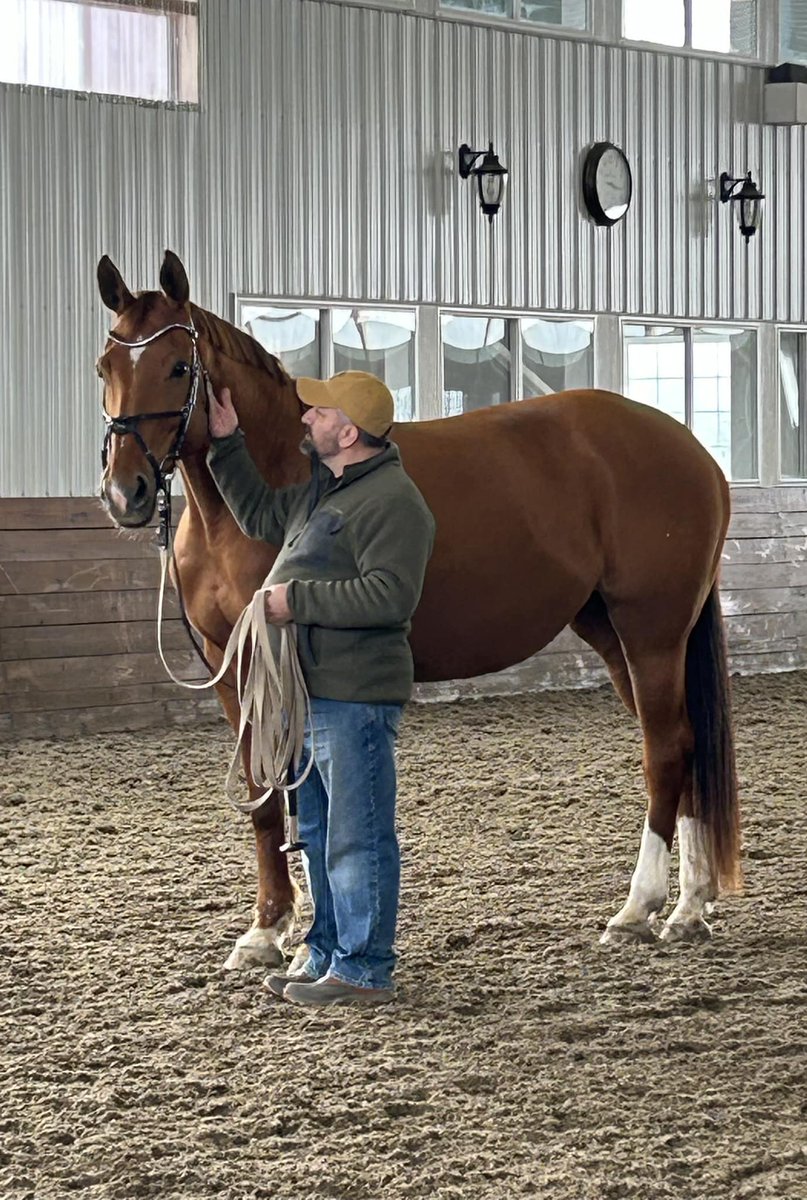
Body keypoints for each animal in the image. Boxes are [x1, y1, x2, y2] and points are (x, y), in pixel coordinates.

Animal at [95, 250, 740, 970]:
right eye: (105, 367)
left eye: (178, 368)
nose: (125, 493)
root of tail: (691, 450)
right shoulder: (231, 666)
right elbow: (263, 796)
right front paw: (265, 931)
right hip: (612, 630)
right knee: (686, 744)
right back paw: (689, 907)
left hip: (650, 629)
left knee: (665, 749)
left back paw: (639, 909)